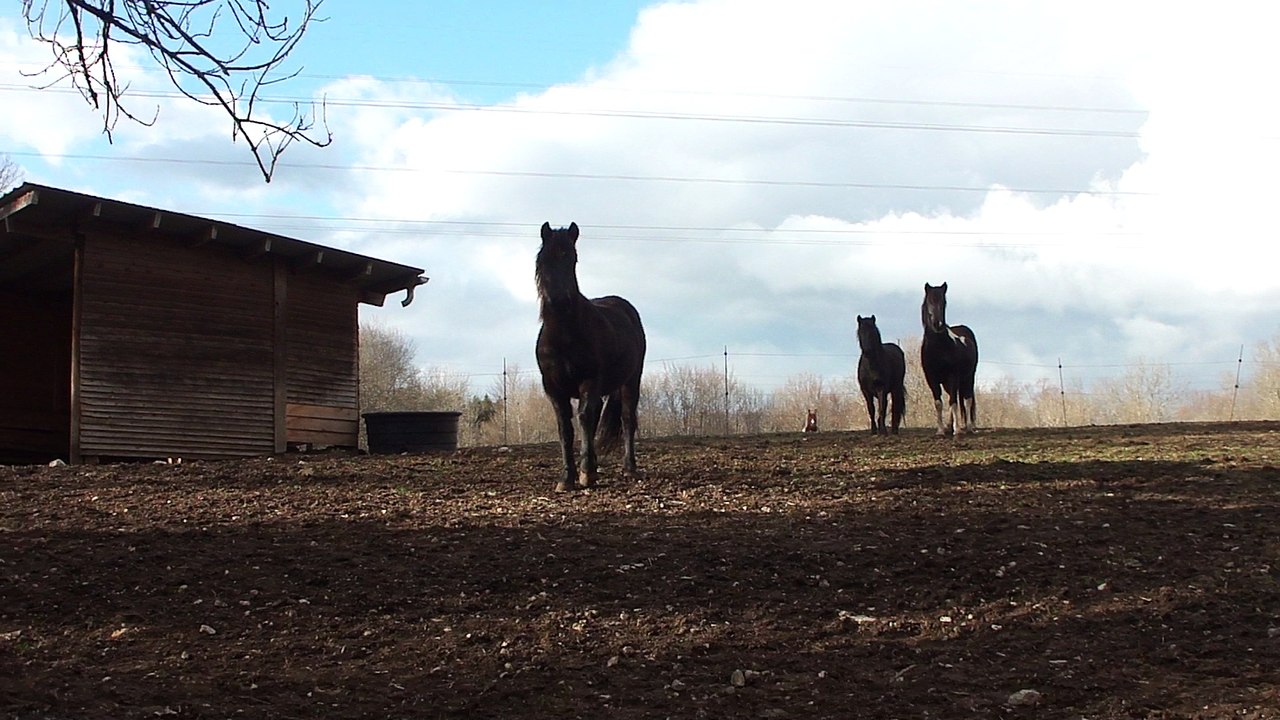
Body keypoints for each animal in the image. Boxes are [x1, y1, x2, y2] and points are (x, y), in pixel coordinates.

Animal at [535, 222, 647, 492]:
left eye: (572, 258)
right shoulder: (553, 388)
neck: (564, 334)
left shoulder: (590, 380)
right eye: (544, 259)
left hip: (631, 380)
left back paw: (629, 468)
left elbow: (585, 418)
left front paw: (585, 473)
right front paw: (567, 477)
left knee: (627, 419)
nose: (559, 299)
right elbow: (565, 428)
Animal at [920, 282, 979, 436]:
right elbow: (939, 403)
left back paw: (969, 427)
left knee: (967, 399)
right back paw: (948, 426)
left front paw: (957, 430)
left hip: (968, 377)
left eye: (944, 302)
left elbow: (954, 402)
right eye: (929, 301)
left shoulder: (953, 376)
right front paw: (941, 430)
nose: (937, 323)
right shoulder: (932, 378)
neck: (939, 346)